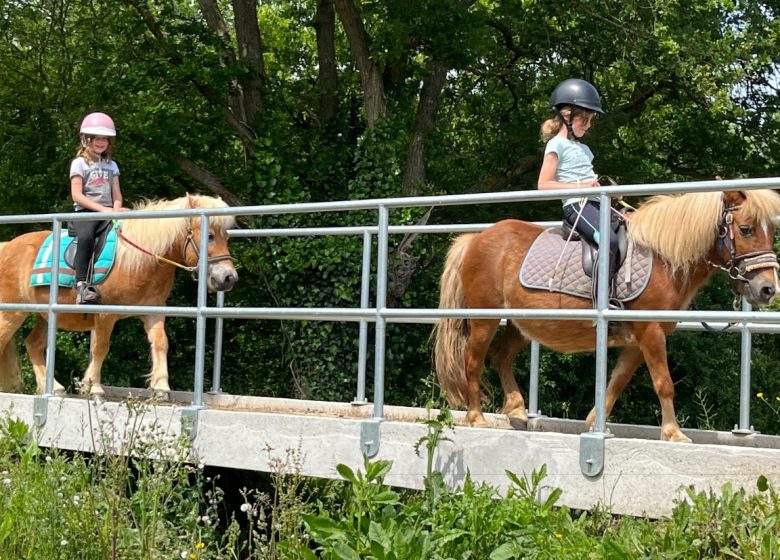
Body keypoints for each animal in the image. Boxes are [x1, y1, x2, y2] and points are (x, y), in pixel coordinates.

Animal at [0, 194, 238, 398]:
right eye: (210, 236)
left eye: (226, 236)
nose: (229, 277)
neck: (138, 259)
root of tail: (7, 246)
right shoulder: (105, 314)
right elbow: (101, 347)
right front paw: (93, 387)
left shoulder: (154, 311)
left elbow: (161, 342)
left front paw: (161, 386)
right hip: (12, 313)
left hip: (45, 314)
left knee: (33, 344)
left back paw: (54, 387)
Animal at [433, 190, 780, 442]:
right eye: (746, 229)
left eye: (770, 231)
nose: (767, 289)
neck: (664, 259)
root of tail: (475, 239)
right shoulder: (650, 333)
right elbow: (664, 383)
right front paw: (673, 433)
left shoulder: (638, 341)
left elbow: (616, 382)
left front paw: (592, 422)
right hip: (484, 319)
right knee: (473, 361)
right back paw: (476, 416)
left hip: (519, 323)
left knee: (501, 356)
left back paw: (517, 410)